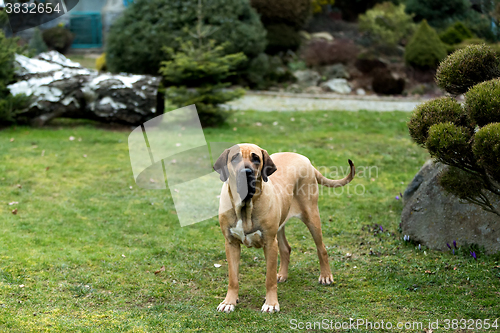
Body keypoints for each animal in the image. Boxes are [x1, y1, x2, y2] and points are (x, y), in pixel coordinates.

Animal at [213, 143, 354, 312]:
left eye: (256, 158)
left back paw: (326, 276)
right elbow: (233, 278)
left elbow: (269, 278)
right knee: (286, 248)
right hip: (280, 224)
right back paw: (282, 275)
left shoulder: (269, 243)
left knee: (322, 248)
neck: (246, 205)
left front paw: (271, 303)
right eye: (234, 158)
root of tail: (306, 160)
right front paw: (229, 302)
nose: (246, 172)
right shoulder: (231, 243)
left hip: (311, 215)